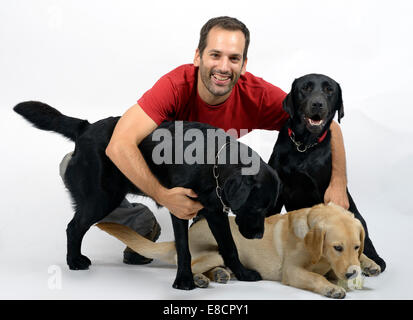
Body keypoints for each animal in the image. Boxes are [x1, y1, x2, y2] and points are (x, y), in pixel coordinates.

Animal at [268, 74, 384, 272]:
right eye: (305, 88)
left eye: (329, 90)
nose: (317, 104)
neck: (304, 146)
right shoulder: (278, 190)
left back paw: (371, 263)